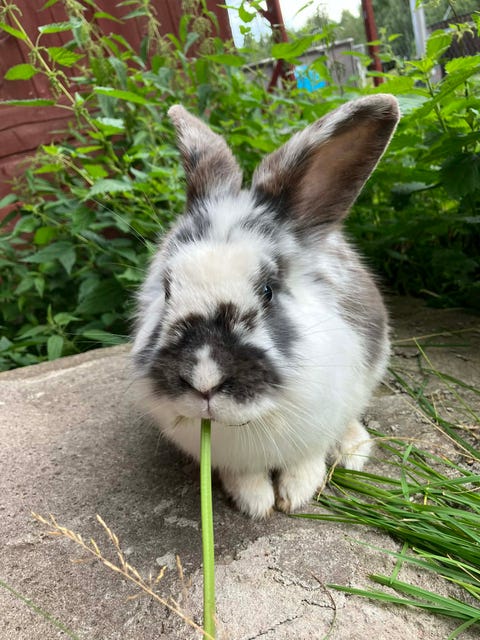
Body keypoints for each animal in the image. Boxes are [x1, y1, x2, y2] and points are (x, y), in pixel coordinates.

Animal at [132, 95, 400, 519]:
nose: (204, 381)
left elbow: (306, 459)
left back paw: (353, 450)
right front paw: (255, 502)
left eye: (269, 290)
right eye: (168, 288)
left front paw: (296, 493)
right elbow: (245, 475)